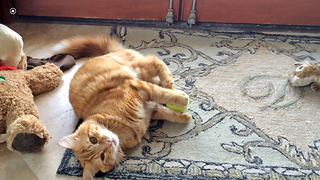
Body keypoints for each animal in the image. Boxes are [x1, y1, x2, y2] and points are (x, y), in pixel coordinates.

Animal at [55, 35, 191, 179]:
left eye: (93, 139)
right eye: (102, 156)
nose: (109, 143)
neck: (125, 126)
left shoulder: (138, 89)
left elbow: (164, 95)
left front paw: (182, 99)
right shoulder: (151, 109)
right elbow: (169, 114)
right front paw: (185, 116)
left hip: (138, 69)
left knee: (156, 61)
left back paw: (169, 83)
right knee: (155, 71)